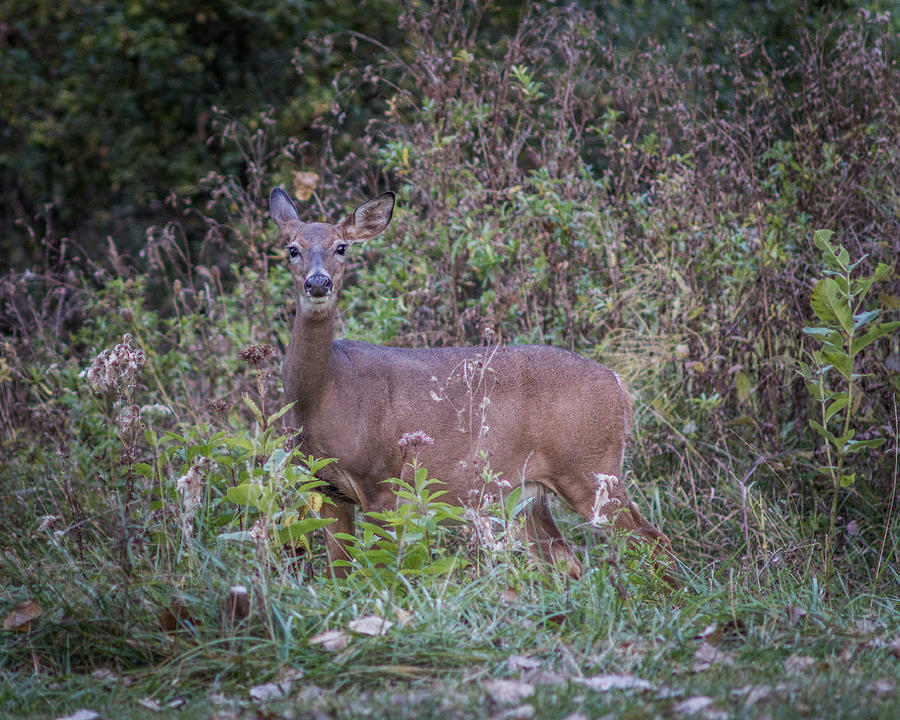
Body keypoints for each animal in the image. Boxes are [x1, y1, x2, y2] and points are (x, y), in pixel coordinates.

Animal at [268, 184, 676, 580]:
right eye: (292, 249)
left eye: (341, 247)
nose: (318, 282)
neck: (327, 391)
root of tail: (617, 383)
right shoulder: (325, 488)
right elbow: (339, 575)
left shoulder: (382, 478)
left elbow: (380, 571)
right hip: (528, 492)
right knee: (567, 561)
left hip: (591, 469)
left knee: (655, 542)